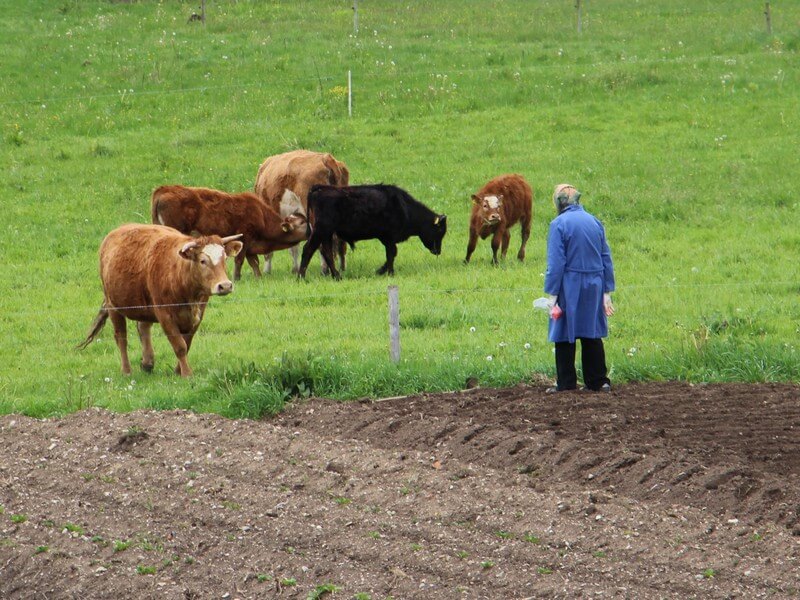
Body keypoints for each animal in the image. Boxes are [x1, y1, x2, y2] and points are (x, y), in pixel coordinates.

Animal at [80, 223, 247, 378]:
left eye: (225, 258)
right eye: (203, 261)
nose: (225, 286)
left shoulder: (199, 313)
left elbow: (187, 342)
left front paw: (178, 370)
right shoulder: (164, 315)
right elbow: (180, 346)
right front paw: (187, 374)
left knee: (143, 327)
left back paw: (147, 363)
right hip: (113, 306)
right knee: (121, 338)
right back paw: (126, 371)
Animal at [152, 184, 308, 280]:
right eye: (302, 223)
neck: (261, 215)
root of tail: (164, 189)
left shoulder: (251, 246)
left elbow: (254, 262)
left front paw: (258, 277)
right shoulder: (245, 238)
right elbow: (240, 260)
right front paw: (236, 278)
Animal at [298, 183, 450, 278]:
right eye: (440, 231)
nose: (438, 251)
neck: (404, 207)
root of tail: (319, 188)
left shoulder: (386, 238)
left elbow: (391, 254)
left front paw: (382, 270)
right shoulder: (390, 237)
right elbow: (391, 254)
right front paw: (389, 272)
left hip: (326, 234)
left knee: (327, 252)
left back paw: (337, 276)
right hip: (321, 231)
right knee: (308, 249)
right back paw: (301, 277)